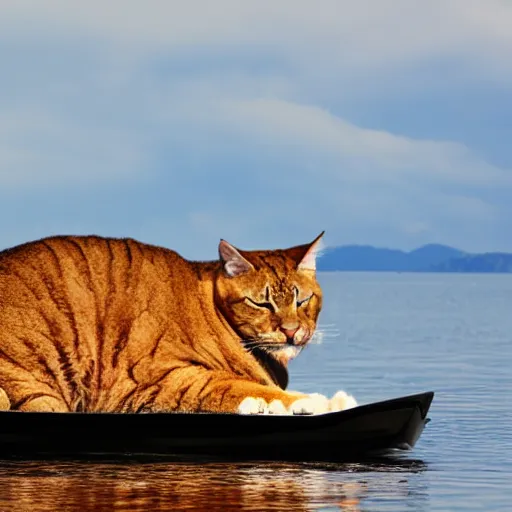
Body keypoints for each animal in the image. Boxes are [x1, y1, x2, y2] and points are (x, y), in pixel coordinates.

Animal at [0, 234, 356, 414]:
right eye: (260, 302)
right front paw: (321, 401)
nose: (291, 331)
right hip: (36, 388)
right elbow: (241, 387)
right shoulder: (164, 377)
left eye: (302, 300)